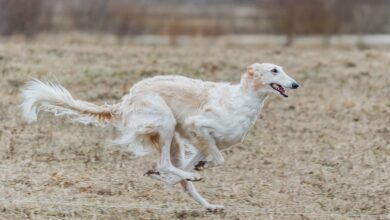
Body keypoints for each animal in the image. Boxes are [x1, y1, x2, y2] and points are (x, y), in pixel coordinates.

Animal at [20, 62, 298, 211]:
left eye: (282, 69)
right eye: (274, 70)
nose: (295, 85)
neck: (243, 100)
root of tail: (126, 100)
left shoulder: (204, 142)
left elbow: (196, 166)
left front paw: (185, 173)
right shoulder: (199, 127)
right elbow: (216, 160)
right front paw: (189, 172)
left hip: (173, 139)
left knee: (179, 177)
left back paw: (208, 204)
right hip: (166, 124)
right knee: (164, 163)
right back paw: (184, 176)